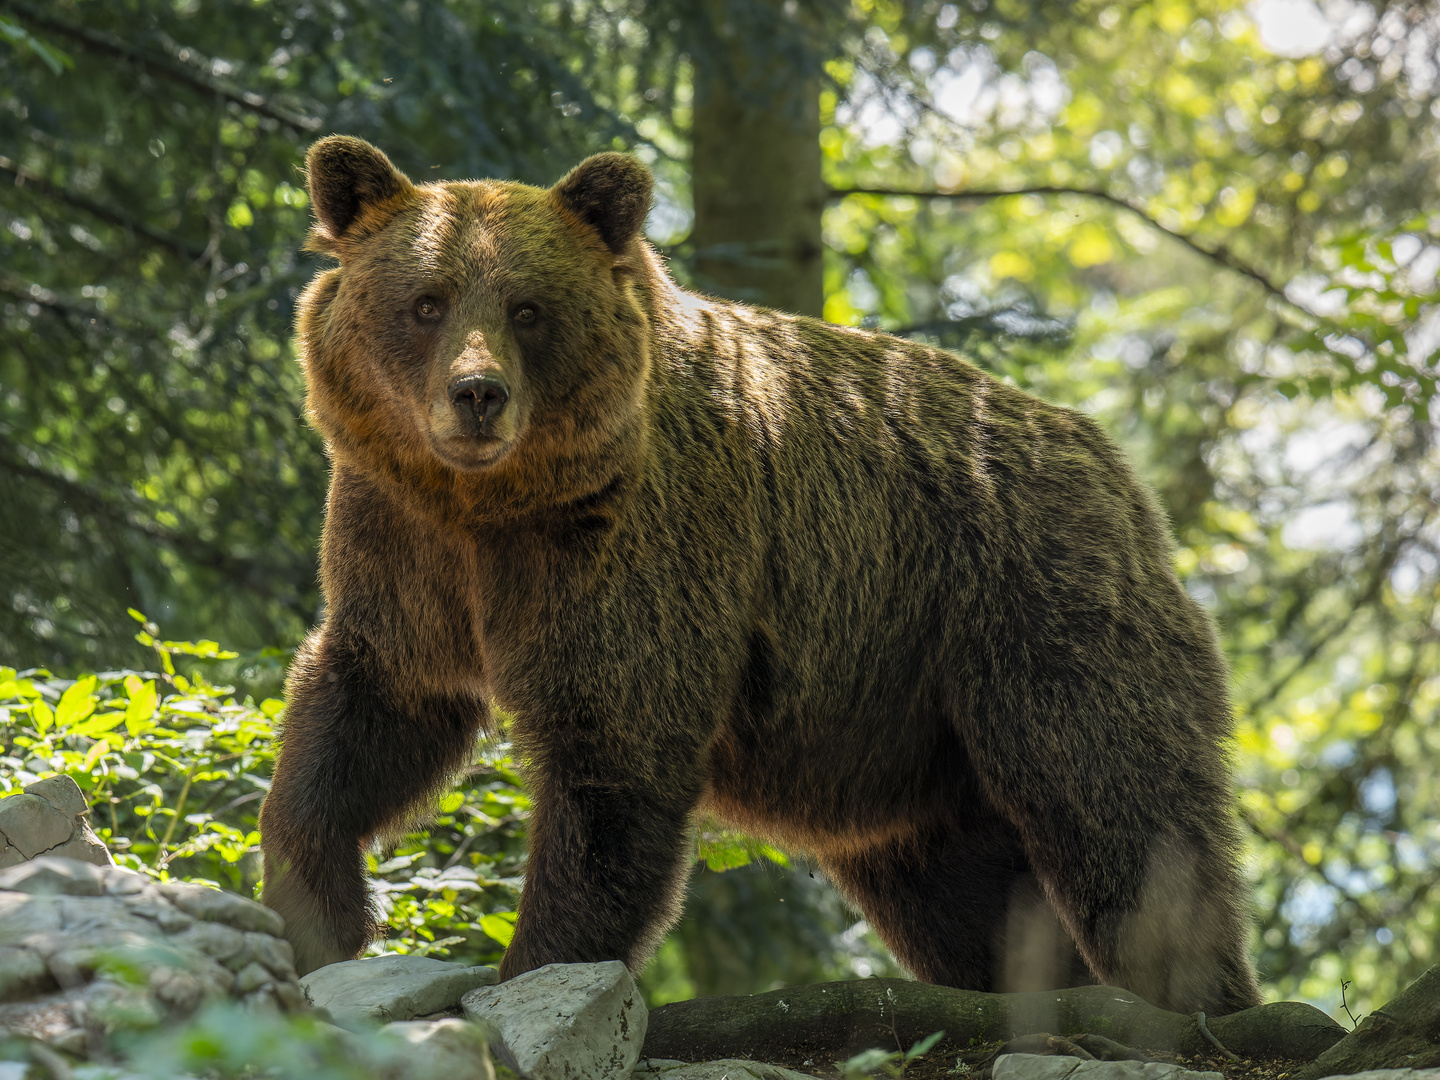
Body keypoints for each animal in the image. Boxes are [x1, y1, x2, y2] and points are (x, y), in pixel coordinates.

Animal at [259, 133, 1261, 1013]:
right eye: (427, 301)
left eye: (528, 308)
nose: (478, 395)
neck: (493, 505)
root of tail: (1112, 465)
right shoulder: (403, 548)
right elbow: (371, 712)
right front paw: (321, 909)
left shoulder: (634, 549)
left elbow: (613, 758)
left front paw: (535, 966)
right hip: (906, 728)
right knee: (959, 887)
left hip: (1032, 617)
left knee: (1122, 812)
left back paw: (1198, 1002)